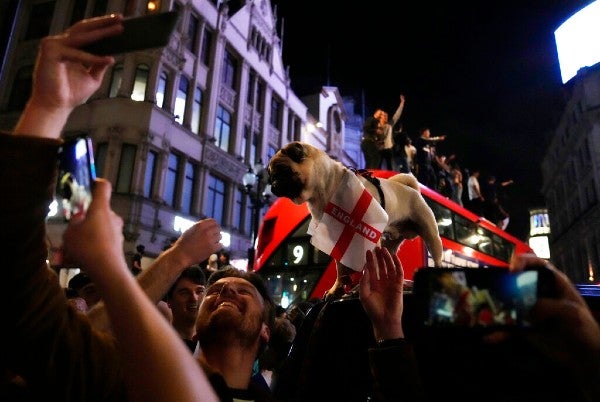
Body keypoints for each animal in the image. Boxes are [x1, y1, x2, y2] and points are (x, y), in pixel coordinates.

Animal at [270, 141, 442, 298]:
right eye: (271, 175)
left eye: (283, 171)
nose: (273, 185)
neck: (324, 189)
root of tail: (412, 189)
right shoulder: (337, 238)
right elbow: (340, 268)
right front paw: (337, 290)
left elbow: (368, 266)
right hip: (389, 244)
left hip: (431, 236)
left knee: (437, 258)